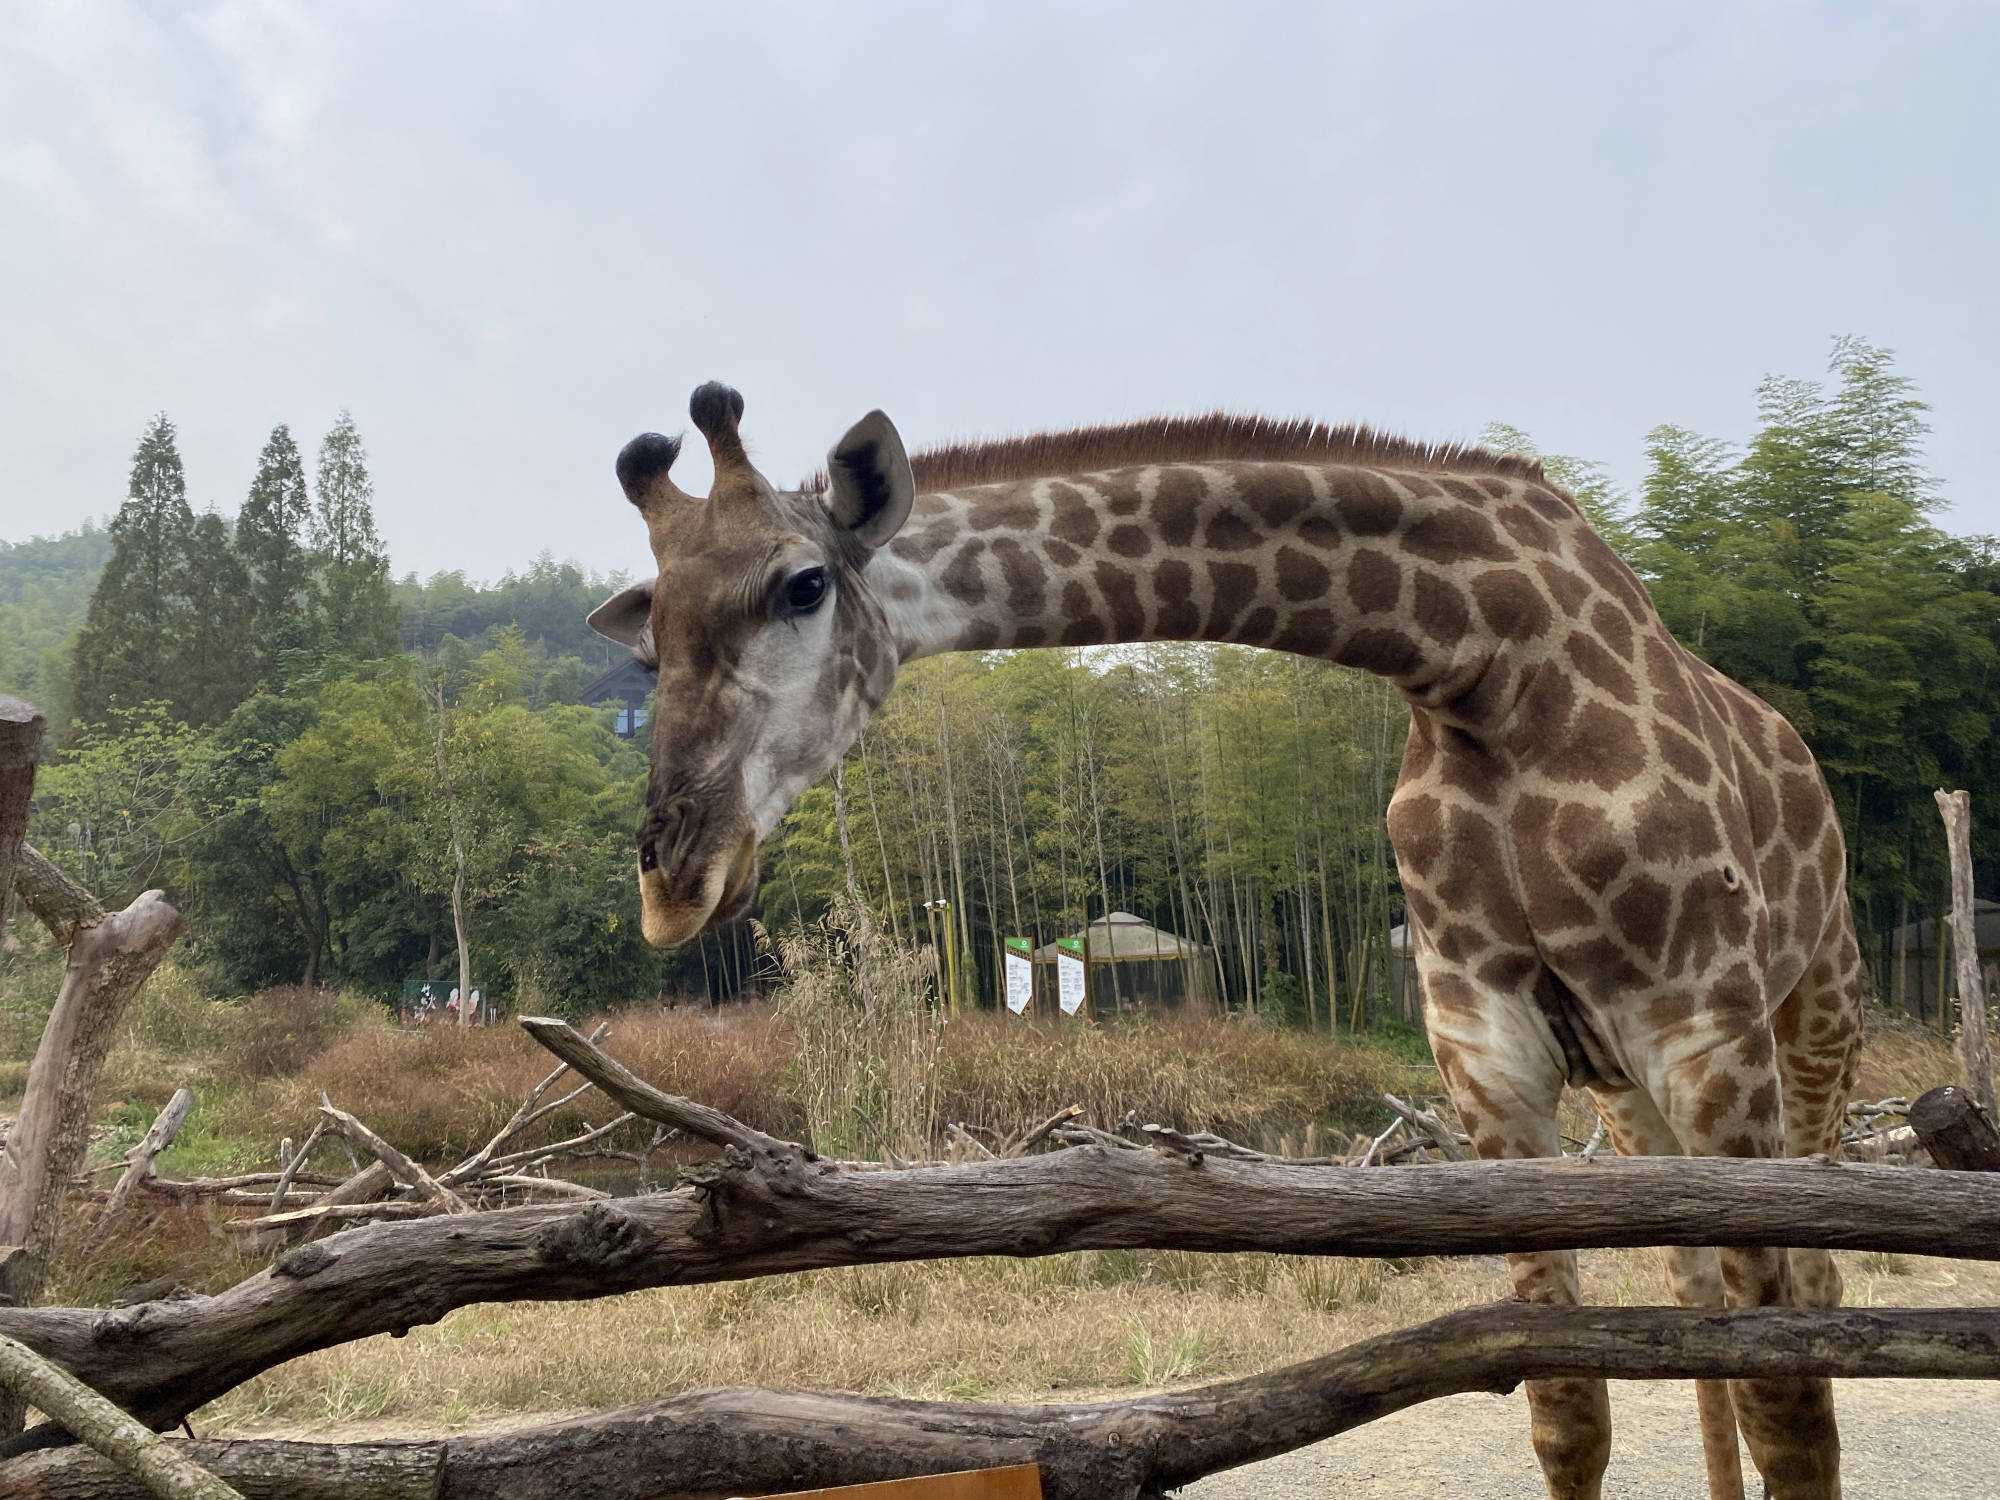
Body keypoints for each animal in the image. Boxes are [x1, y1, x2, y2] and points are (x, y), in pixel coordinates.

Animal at [588, 384, 1856, 1500]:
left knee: (1816, 1282)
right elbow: (1568, 1408)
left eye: (802, 585)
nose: (672, 881)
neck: (1482, 666)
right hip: (1625, 1090)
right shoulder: (1488, 1057)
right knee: (1690, 1304)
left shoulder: (1703, 1032)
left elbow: (1788, 1406)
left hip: (1807, 1022)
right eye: (649, 647)